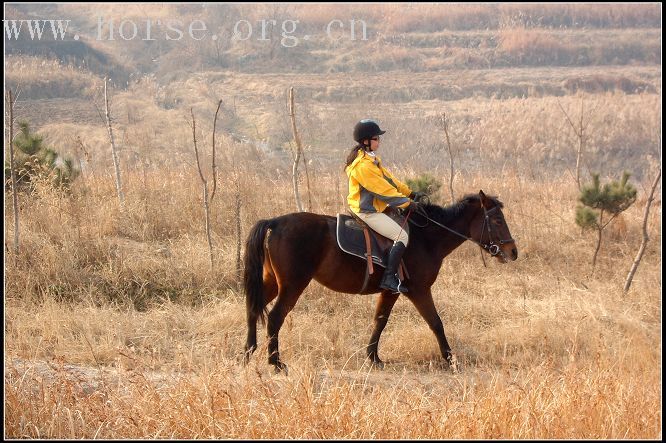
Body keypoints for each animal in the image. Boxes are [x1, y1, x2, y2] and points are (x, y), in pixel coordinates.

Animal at [241, 189, 516, 372]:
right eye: (497, 220)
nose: (513, 251)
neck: (426, 238)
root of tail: (275, 222)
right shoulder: (418, 290)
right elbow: (436, 323)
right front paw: (451, 360)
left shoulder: (390, 291)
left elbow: (380, 321)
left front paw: (373, 357)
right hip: (292, 285)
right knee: (275, 317)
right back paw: (275, 362)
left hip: (272, 282)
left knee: (253, 310)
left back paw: (248, 352)